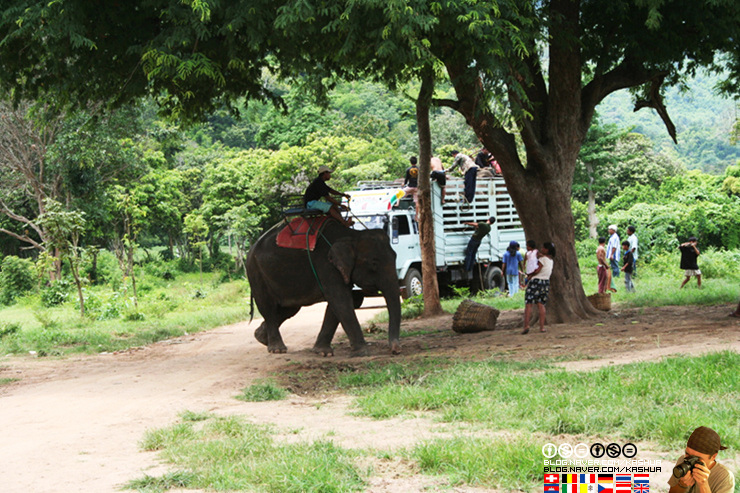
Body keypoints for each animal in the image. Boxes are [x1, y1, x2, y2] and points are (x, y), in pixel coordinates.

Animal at [247, 217, 398, 356]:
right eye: (374, 263)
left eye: (396, 256)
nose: (394, 351)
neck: (352, 234)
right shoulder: (327, 265)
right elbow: (341, 301)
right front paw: (363, 352)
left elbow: (338, 304)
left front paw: (323, 352)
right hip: (255, 272)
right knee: (268, 307)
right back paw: (277, 349)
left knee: (289, 309)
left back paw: (260, 337)